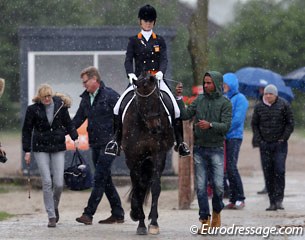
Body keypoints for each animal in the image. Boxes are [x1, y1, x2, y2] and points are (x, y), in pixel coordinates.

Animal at [120, 71, 173, 234]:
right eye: (141, 101)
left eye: (157, 97)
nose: (156, 128)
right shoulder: (132, 158)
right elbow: (138, 187)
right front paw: (140, 221)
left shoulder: (158, 154)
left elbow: (155, 186)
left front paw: (153, 223)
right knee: (140, 183)